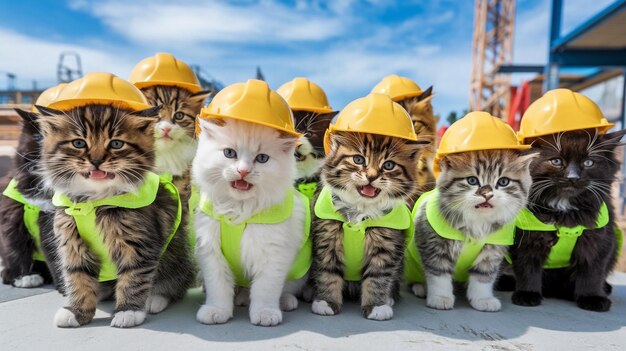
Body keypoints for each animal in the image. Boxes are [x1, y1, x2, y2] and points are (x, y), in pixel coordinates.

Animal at [37, 105, 194, 330]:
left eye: (116, 144)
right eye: (79, 143)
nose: (96, 161)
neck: (93, 202)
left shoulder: (137, 244)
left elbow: (133, 278)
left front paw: (128, 311)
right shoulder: (71, 243)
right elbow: (78, 278)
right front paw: (77, 312)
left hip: (175, 257)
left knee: (175, 284)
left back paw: (154, 299)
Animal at [191, 117, 306, 328]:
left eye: (262, 158)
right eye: (229, 153)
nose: (243, 171)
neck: (238, 211)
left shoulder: (273, 254)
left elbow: (265, 289)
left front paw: (265, 314)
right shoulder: (211, 252)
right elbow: (218, 288)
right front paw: (216, 311)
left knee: (286, 289)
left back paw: (285, 302)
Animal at [308, 132, 420, 322]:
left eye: (388, 165)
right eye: (358, 159)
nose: (372, 176)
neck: (361, 209)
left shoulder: (385, 247)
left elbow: (378, 278)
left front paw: (376, 306)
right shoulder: (327, 239)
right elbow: (327, 273)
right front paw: (326, 302)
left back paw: (389, 298)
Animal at [410, 150, 532, 312]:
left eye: (503, 182)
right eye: (472, 180)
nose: (487, 194)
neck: (477, 222)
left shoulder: (491, 252)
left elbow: (483, 277)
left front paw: (483, 299)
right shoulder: (434, 246)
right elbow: (439, 275)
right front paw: (440, 298)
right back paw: (421, 288)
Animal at [508, 130, 624, 314]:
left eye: (588, 162)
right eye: (556, 161)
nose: (573, 177)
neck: (564, 209)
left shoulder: (597, 240)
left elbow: (592, 271)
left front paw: (592, 297)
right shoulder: (527, 239)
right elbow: (527, 267)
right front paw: (527, 294)